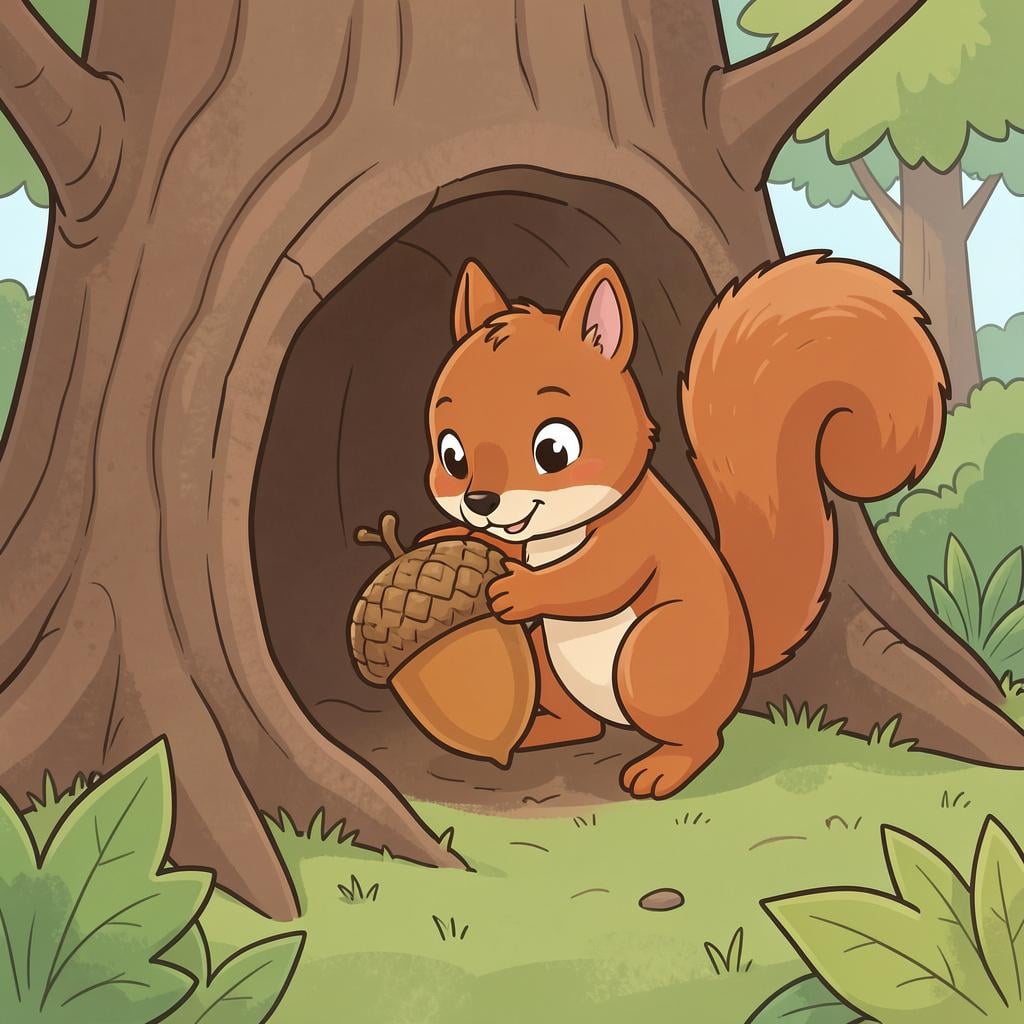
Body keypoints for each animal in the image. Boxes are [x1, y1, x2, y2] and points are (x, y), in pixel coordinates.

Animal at [416, 252, 947, 798]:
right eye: (451, 453)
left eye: (554, 450)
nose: (480, 501)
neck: (558, 534)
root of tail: (743, 661)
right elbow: (511, 547)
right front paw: (448, 536)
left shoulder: (637, 535)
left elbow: (596, 581)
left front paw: (519, 590)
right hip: (548, 656)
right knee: (584, 723)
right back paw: (540, 732)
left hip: (655, 661)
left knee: (703, 739)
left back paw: (662, 769)